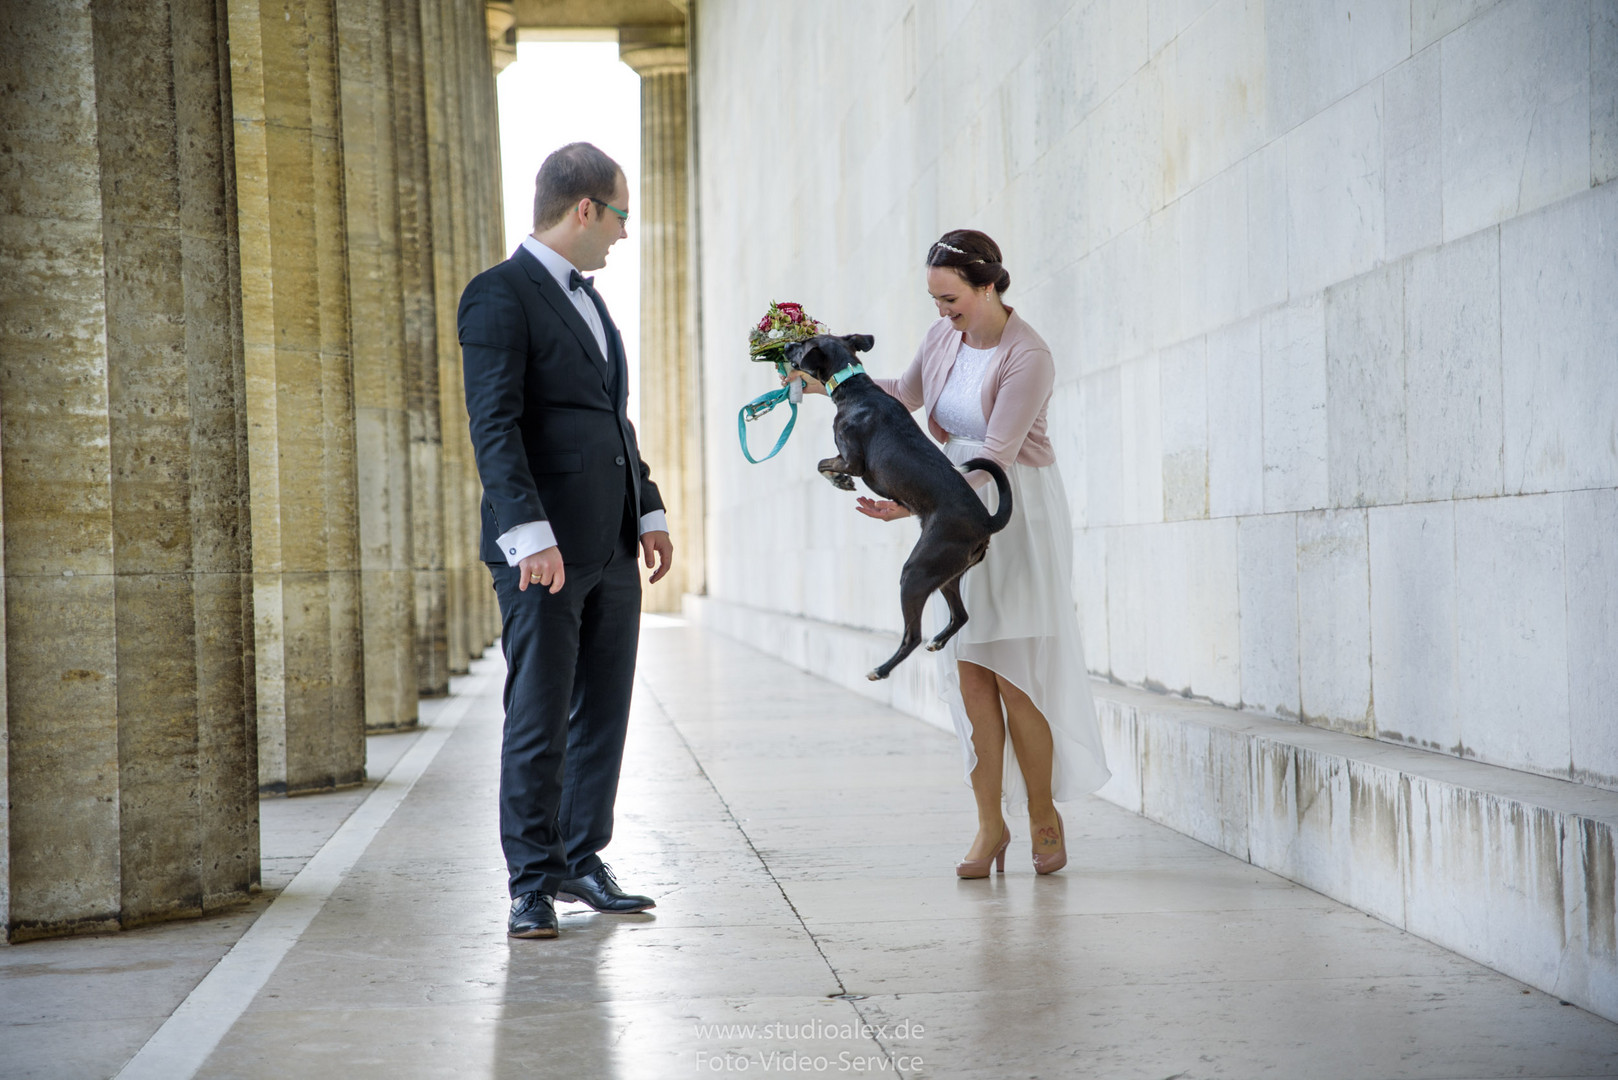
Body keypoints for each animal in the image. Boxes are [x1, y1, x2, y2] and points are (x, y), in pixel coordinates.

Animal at [783, 333, 1009, 680]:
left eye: (803, 343)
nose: (782, 347)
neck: (855, 387)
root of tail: (986, 521)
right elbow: (823, 464)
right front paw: (838, 481)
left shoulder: (853, 460)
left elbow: (822, 463)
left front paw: (839, 481)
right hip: (945, 575)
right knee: (961, 615)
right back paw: (937, 641)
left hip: (916, 571)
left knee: (912, 636)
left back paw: (881, 669)